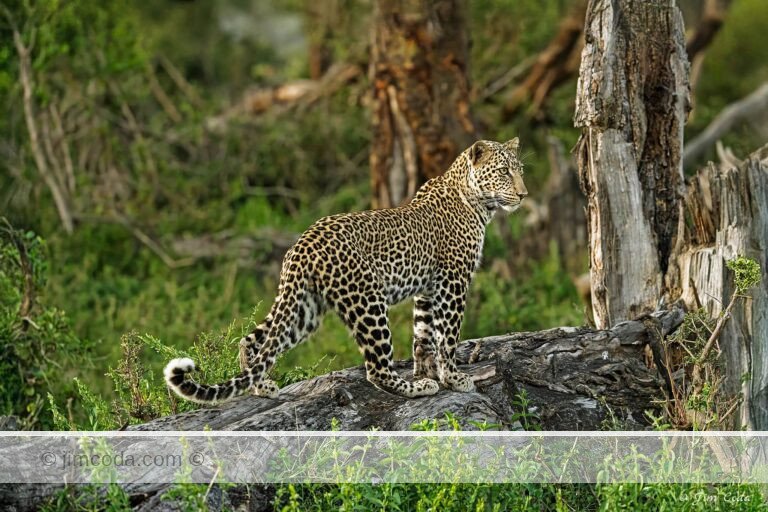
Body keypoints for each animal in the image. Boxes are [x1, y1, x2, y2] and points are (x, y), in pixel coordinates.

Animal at [164, 138, 528, 403]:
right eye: (504, 171)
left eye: (520, 170)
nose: (524, 194)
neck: (477, 202)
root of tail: (303, 243)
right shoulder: (453, 282)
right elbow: (448, 336)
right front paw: (451, 378)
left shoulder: (427, 289)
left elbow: (423, 336)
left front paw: (427, 373)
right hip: (367, 301)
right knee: (376, 368)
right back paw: (411, 390)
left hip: (304, 309)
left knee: (253, 340)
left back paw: (261, 386)